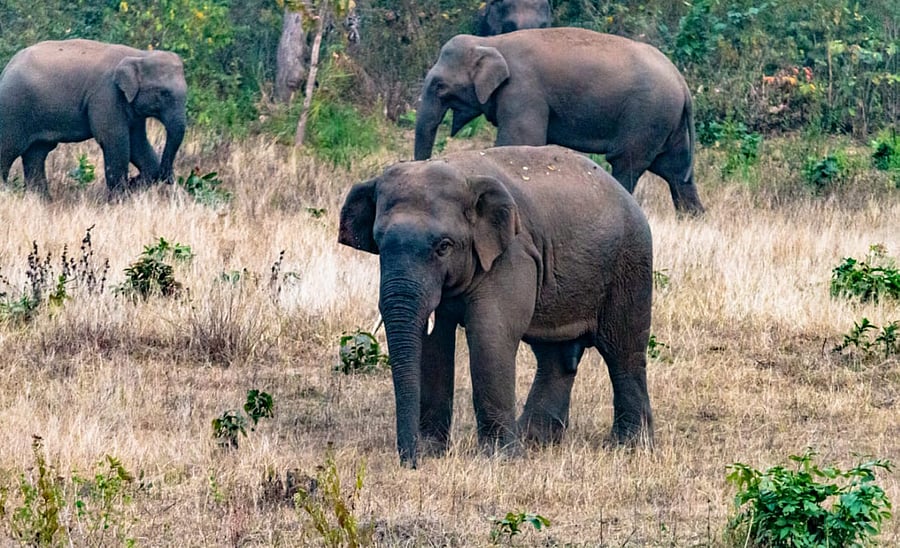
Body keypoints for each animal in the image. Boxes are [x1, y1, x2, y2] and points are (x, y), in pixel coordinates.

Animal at [0, 39, 187, 197]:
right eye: (164, 93)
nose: (171, 179)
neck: (139, 54)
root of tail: (6, 69)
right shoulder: (106, 95)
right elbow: (115, 140)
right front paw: (119, 199)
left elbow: (137, 143)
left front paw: (132, 187)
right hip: (13, 109)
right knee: (9, 149)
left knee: (36, 153)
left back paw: (41, 201)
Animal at [338, 145, 654, 467]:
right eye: (379, 244)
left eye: (444, 247)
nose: (410, 463)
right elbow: (433, 343)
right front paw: (432, 451)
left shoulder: (512, 254)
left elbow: (491, 334)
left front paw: (500, 459)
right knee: (555, 355)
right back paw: (535, 440)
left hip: (631, 261)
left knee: (623, 349)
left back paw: (630, 446)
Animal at [414, 28, 705, 215]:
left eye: (439, 86)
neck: (491, 40)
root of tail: (682, 82)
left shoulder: (523, 90)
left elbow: (520, 140)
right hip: (667, 123)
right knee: (676, 171)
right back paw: (693, 218)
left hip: (647, 117)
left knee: (627, 163)